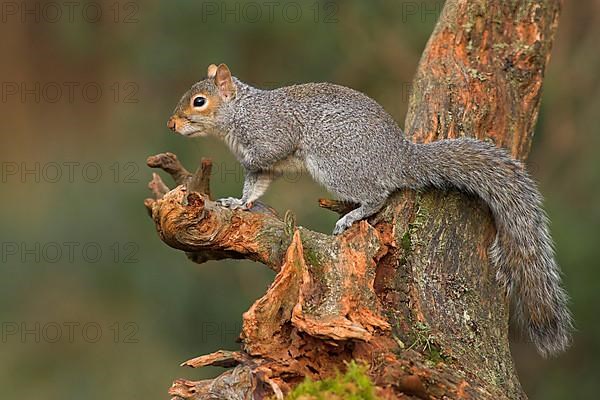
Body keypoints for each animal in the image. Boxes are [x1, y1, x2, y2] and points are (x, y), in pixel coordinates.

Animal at [168, 62, 572, 356]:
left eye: (199, 101)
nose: (171, 124)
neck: (241, 111)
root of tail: (400, 158)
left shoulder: (273, 134)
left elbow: (268, 154)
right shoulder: (264, 171)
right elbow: (255, 187)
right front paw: (240, 203)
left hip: (336, 164)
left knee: (378, 195)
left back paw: (352, 216)